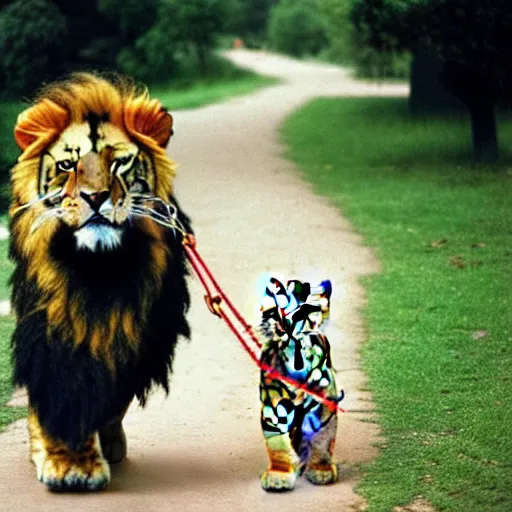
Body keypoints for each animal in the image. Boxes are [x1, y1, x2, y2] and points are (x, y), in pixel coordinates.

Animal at [8, 73, 192, 492]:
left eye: (120, 162)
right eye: (67, 164)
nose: (96, 197)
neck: (99, 268)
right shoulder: (53, 329)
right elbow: (61, 397)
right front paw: (71, 465)